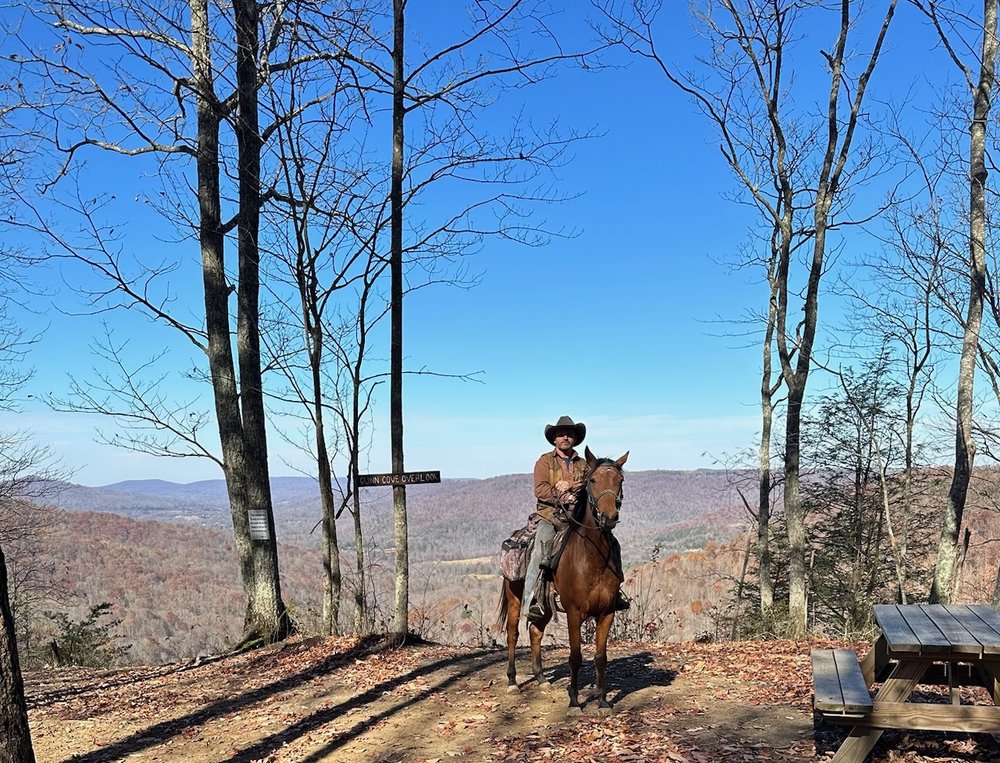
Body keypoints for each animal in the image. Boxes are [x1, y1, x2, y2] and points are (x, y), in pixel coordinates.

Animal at [497, 446, 629, 714]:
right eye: (592, 480)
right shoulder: (574, 612)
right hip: (515, 600)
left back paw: (541, 679)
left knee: (535, 631)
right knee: (513, 635)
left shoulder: (607, 611)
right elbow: (575, 657)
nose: (608, 517)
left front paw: (602, 701)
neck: (592, 557)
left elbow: (601, 657)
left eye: (620, 480)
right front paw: (574, 701)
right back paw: (513, 681)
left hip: (544, 606)